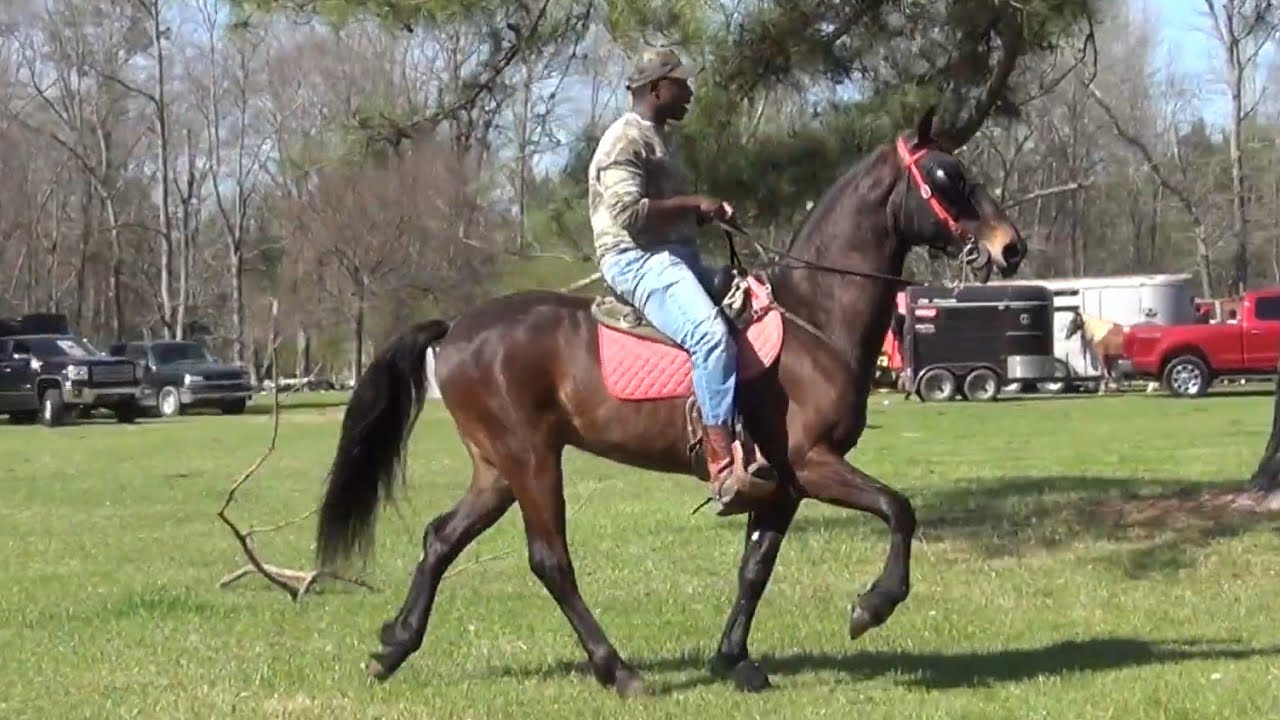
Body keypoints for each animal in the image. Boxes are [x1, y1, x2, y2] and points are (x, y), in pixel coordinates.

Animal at [312, 107, 1028, 697]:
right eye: (948, 175)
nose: (1010, 246)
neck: (813, 321)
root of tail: (457, 327)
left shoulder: (783, 483)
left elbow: (755, 567)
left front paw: (736, 659)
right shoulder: (814, 463)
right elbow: (899, 509)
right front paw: (871, 607)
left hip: (497, 469)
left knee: (441, 538)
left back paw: (393, 648)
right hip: (532, 460)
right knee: (551, 561)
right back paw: (619, 671)